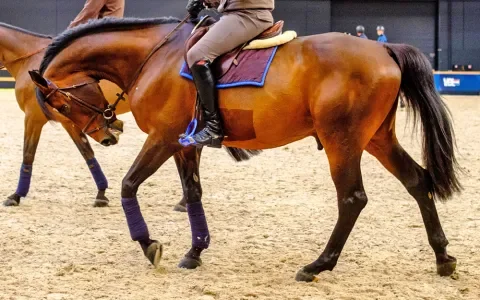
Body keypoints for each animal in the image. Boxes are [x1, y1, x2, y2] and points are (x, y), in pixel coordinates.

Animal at [0, 22, 190, 211]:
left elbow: (28, 153)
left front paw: (16, 195)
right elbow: (87, 152)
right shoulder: (71, 122)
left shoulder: (34, 117)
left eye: (65, 106)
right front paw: (101, 193)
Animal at [30, 17, 462, 282]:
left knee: (352, 198)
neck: (155, 56)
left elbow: (128, 185)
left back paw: (317, 265)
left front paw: (149, 245)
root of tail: (383, 49)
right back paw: (442, 257)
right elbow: (193, 193)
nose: (107, 135)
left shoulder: (163, 138)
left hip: (342, 142)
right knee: (417, 181)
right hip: (377, 139)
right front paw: (195, 252)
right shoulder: (185, 145)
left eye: (61, 104)